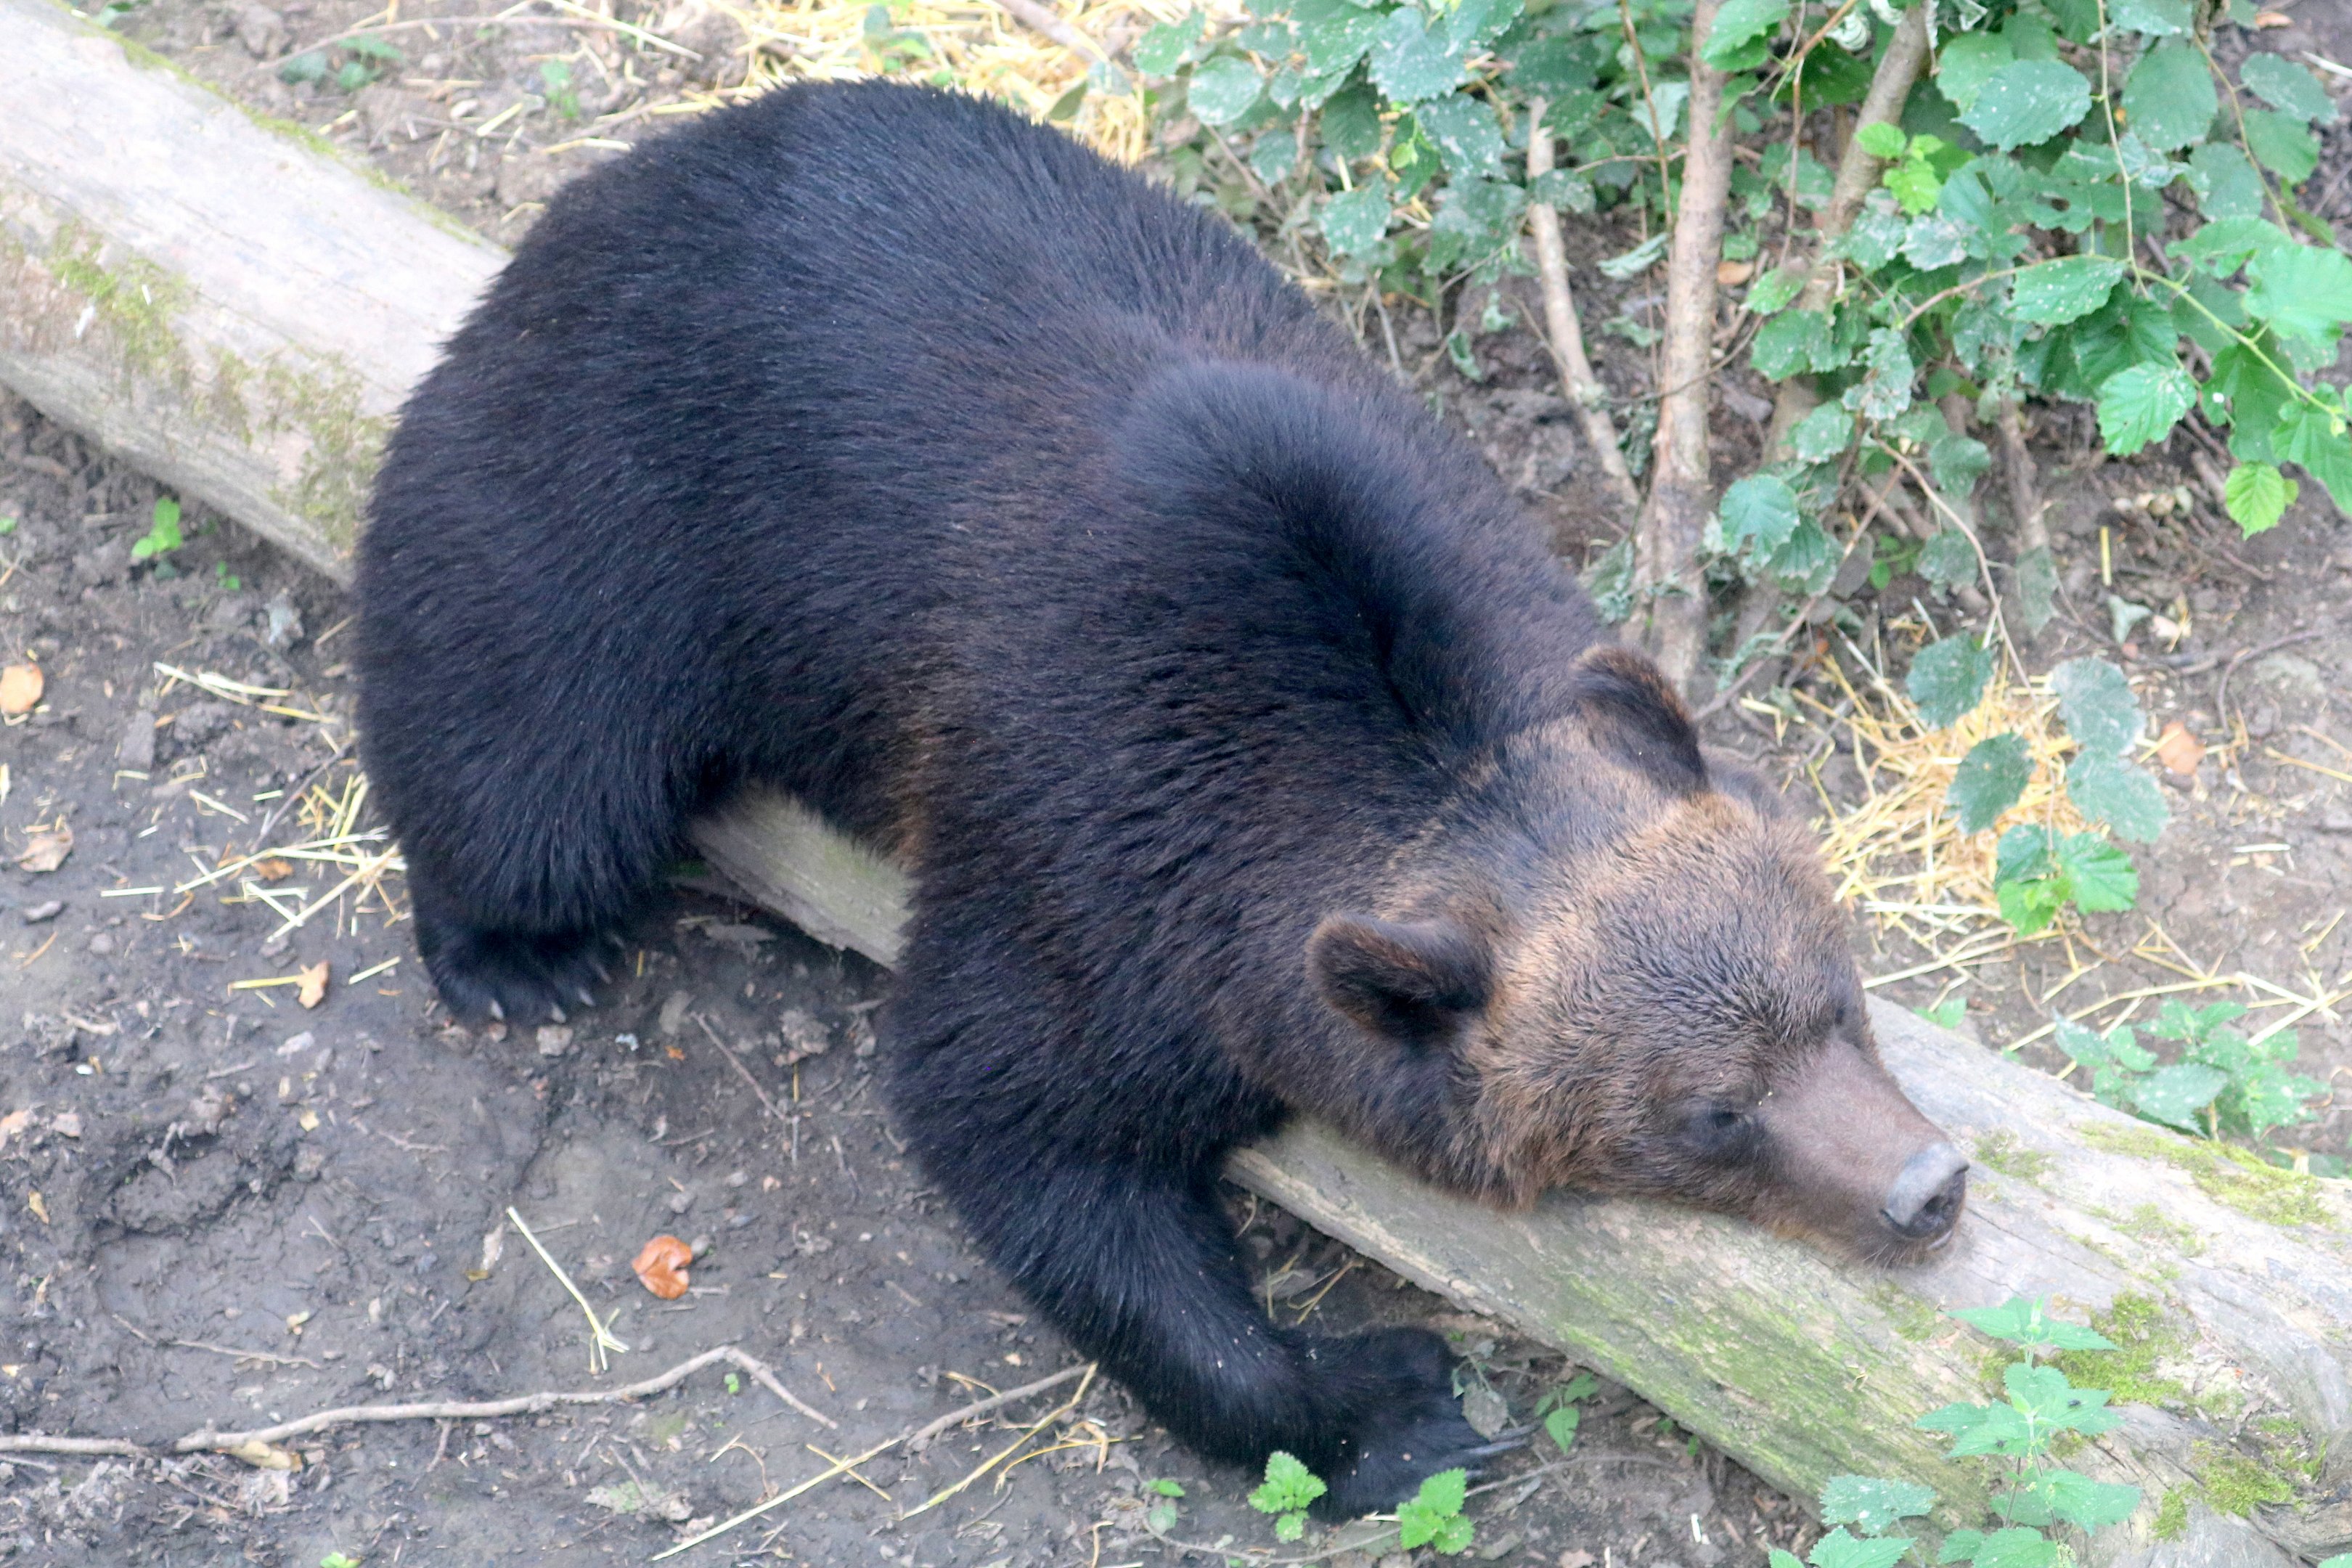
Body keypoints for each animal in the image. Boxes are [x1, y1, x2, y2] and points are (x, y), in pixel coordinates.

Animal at [355, 81, 1967, 1517]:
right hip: (604, 499)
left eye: (1838, 996)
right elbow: (1018, 1117)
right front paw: (1386, 1406)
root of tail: (614, 183)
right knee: (533, 759)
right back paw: (515, 952)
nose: (1926, 1187)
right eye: (1710, 1113)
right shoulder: (1101, 851)